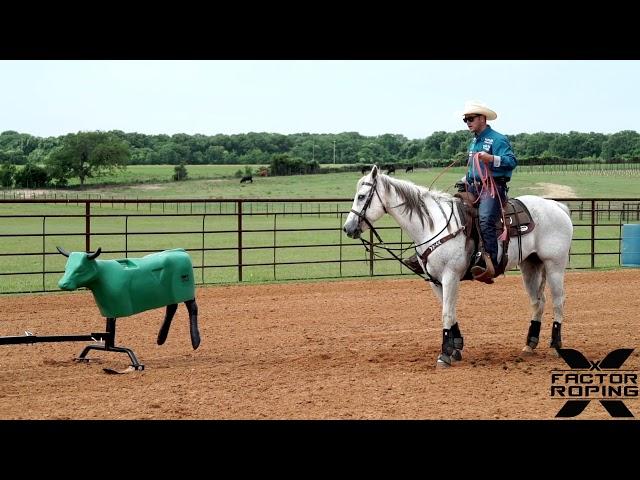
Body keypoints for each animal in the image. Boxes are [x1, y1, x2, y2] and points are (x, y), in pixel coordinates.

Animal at [344, 165, 576, 368]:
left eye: (362, 196)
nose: (348, 228)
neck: (433, 226)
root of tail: (558, 206)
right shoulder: (436, 281)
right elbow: (450, 311)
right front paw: (456, 347)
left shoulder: (450, 276)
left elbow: (446, 313)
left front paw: (444, 354)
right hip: (530, 265)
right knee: (538, 302)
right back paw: (529, 344)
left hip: (555, 265)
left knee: (558, 301)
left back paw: (556, 345)